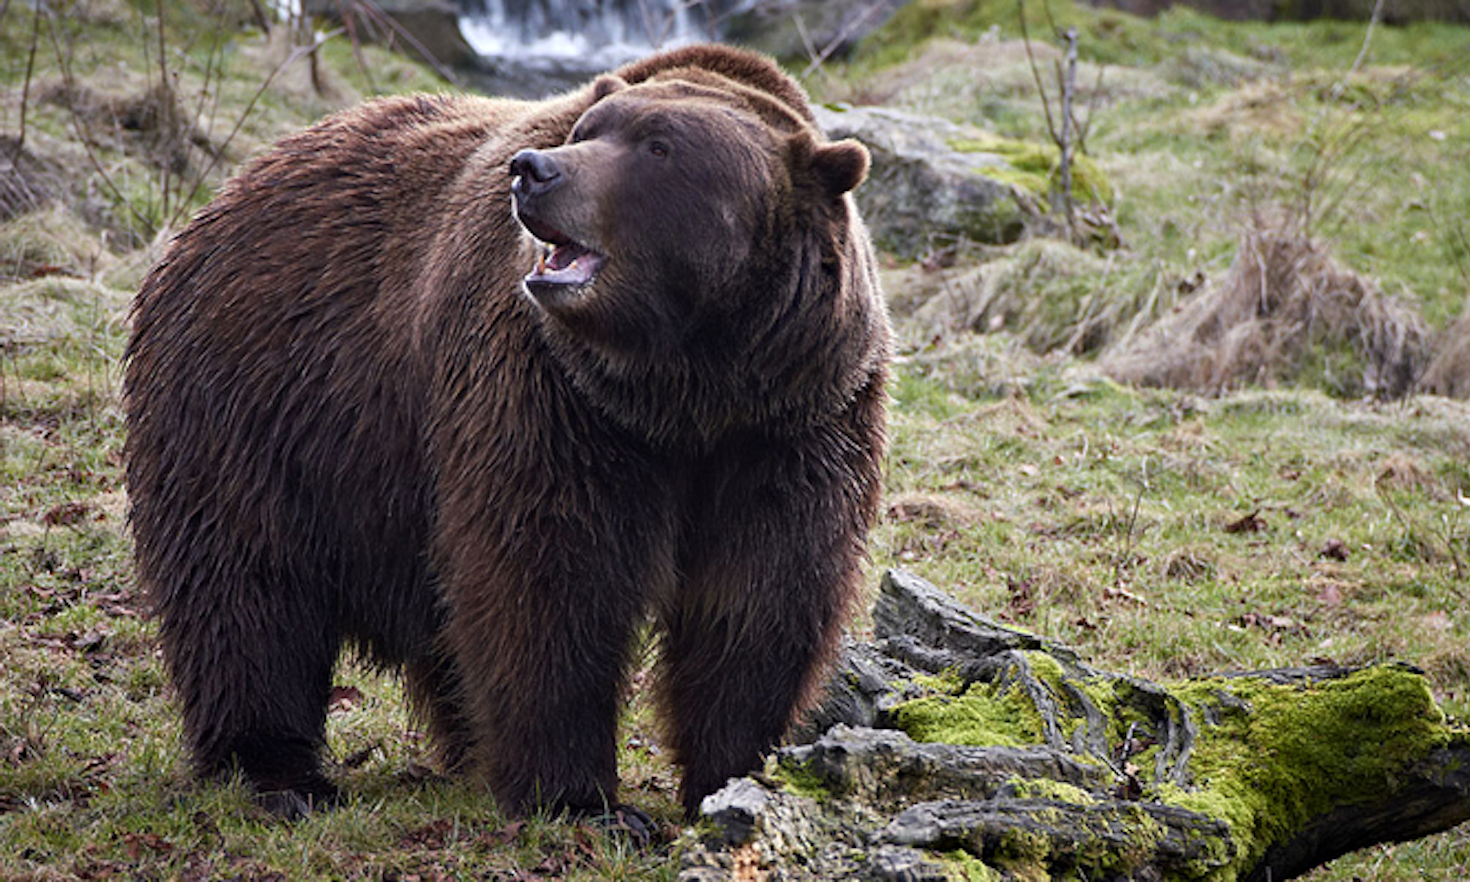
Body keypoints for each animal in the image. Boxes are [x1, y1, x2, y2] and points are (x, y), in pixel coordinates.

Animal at [123, 43, 890, 824]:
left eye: (659, 146)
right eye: (588, 130)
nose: (535, 170)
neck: (685, 387)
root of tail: (230, 189)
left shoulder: (792, 421)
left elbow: (761, 593)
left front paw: (733, 772)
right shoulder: (552, 395)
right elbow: (548, 577)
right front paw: (583, 798)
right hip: (259, 400)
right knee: (248, 590)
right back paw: (276, 771)